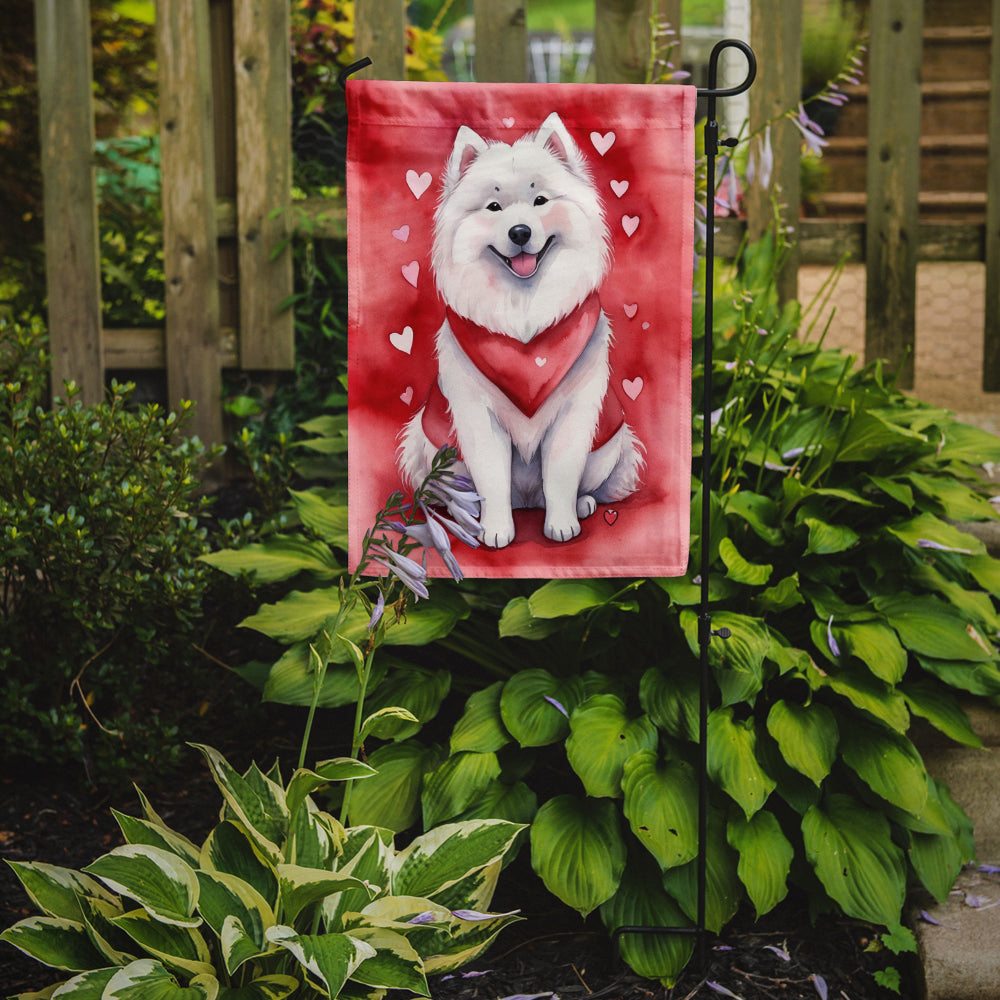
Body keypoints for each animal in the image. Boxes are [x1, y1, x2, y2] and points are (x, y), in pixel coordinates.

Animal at [394, 113, 644, 552]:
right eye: (494, 207)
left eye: (540, 201)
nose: (520, 232)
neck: (526, 326)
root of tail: (525, 501)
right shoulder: (478, 415)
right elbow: (492, 478)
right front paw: (496, 531)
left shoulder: (573, 413)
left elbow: (560, 475)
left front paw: (561, 526)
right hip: (435, 451)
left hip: (607, 449)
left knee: (567, 487)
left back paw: (581, 505)